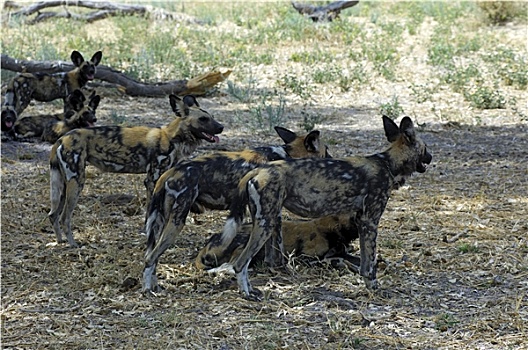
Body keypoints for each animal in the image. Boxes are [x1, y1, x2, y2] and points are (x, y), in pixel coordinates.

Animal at [48, 94, 224, 247]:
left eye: (212, 117)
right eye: (203, 119)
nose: (221, 127)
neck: (172, 138)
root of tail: (62, 138)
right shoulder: (152, 180)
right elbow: (152, 216)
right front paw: (150, 235)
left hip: (64, 185)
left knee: (53, 215)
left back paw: (60, 241)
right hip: (76, 182)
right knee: (64, 217)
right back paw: (73, 244)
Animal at [140, 126, 330, 292]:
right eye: (327, 151)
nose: (333, 159)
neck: (288, 155)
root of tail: (172, 171)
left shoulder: (265, 215)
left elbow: (271, 250)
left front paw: (270, 268)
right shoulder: (271, 215)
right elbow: (278, 247)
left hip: (161, 220)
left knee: (151, 255)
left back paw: (155, 286)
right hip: (177, 220)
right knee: (151, 257)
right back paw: (148, 289)